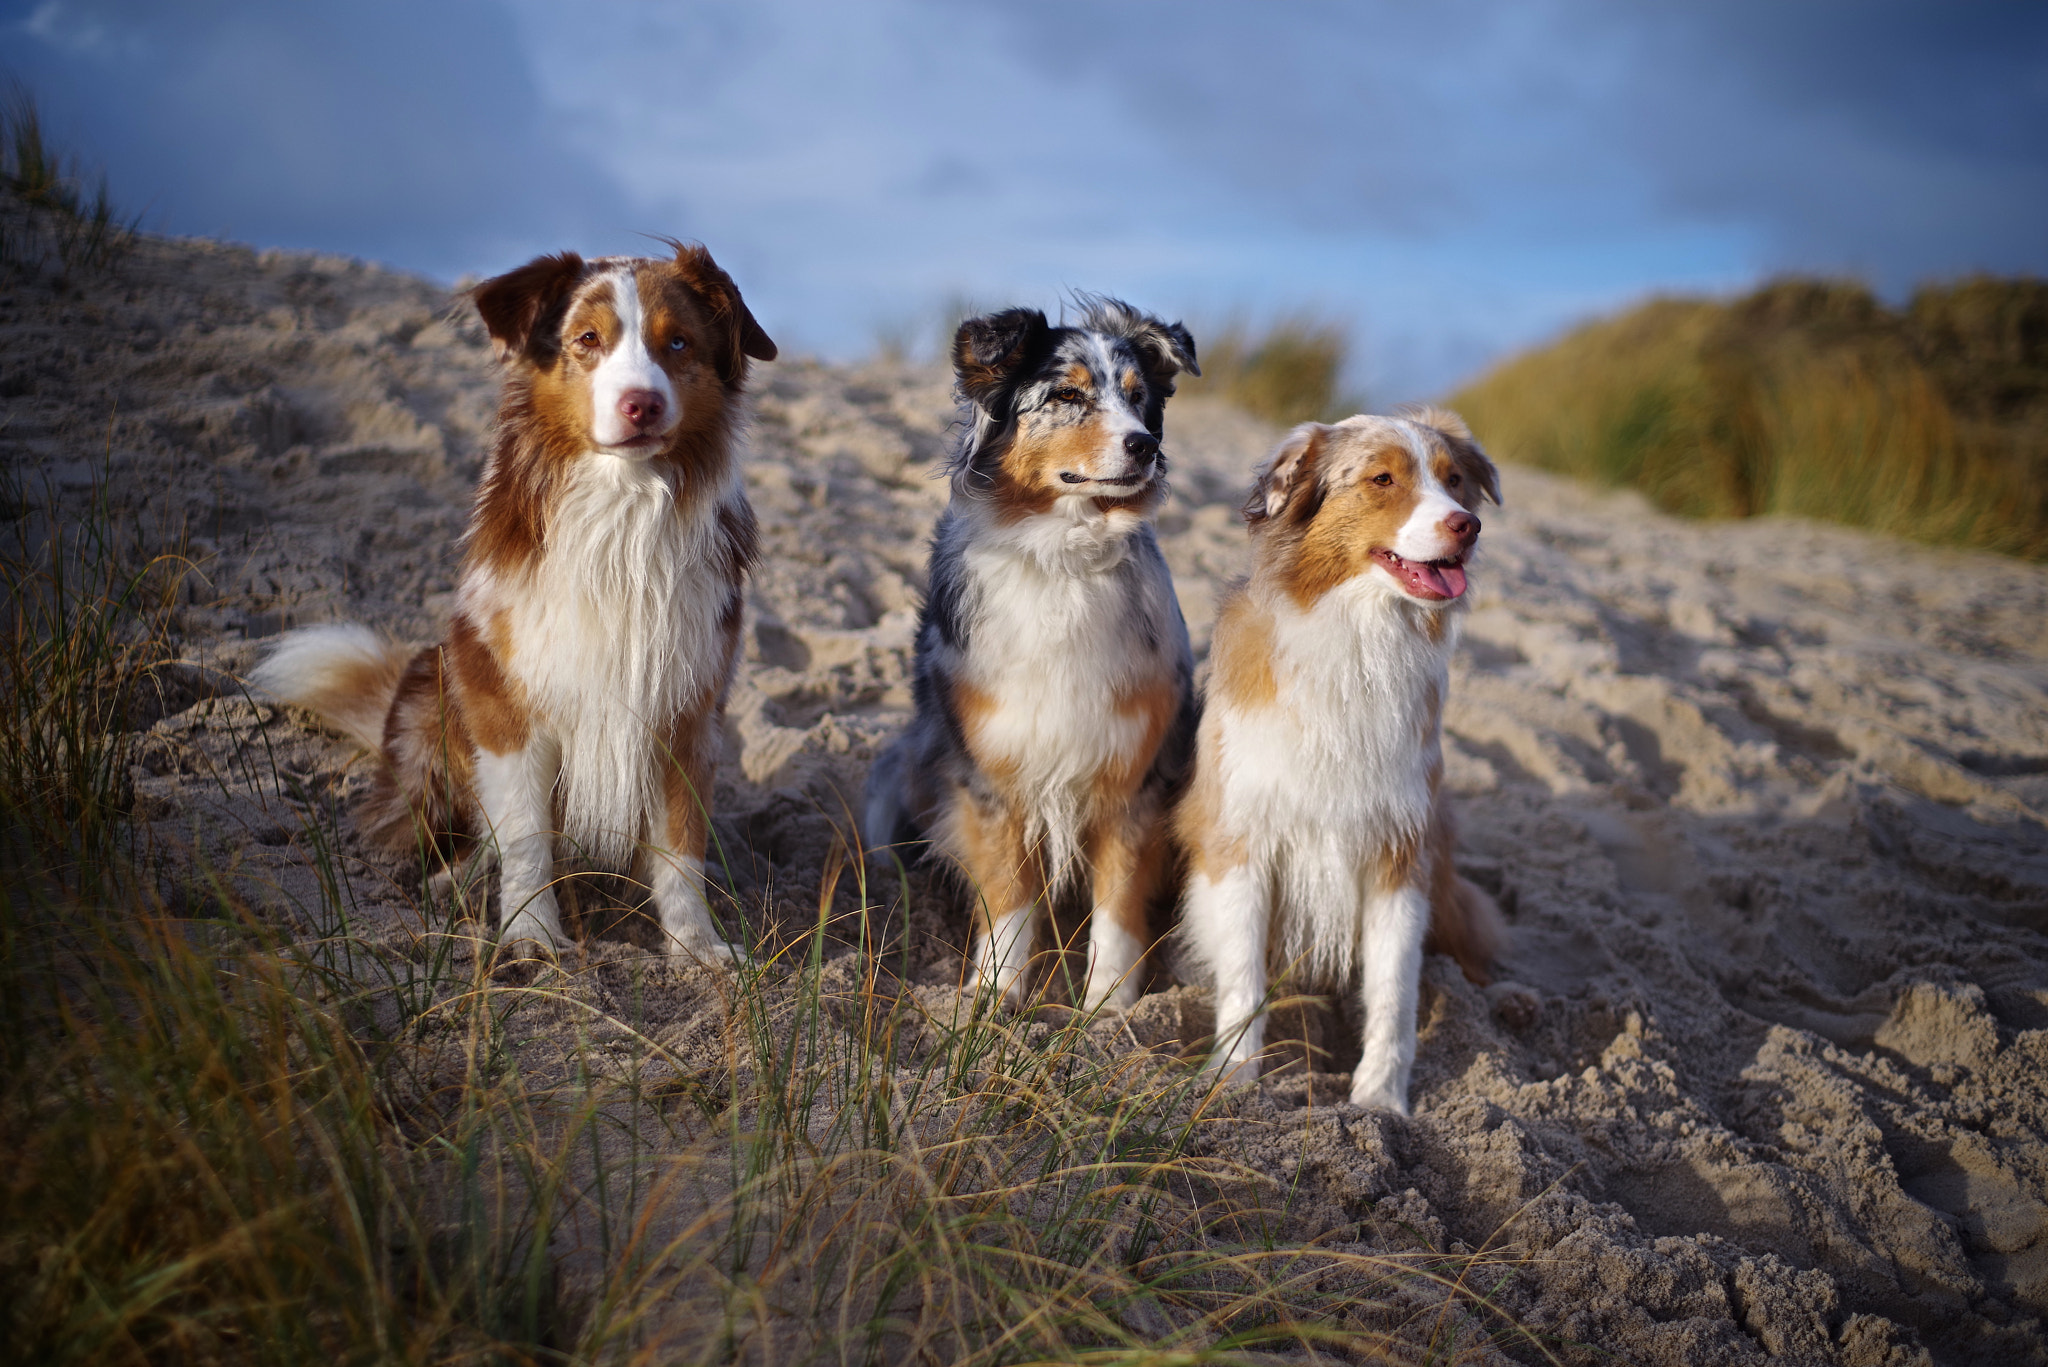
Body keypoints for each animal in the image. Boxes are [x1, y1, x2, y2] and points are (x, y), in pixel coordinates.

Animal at [249, 242, 774, 963]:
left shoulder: (686, 707)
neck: (621, 511)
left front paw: (697, 947)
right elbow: (524, 835)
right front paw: (531, 935)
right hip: (433, 694)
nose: (641, 404)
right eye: (588, 340)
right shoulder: (506, 699)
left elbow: (680, 847)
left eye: (678, 342)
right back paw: (452, 880)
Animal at [860, 299, 1196, 1012]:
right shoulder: (992, 772)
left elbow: (1119, 903)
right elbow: (1010, 893)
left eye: (1138, 399)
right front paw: (996, 997)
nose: (1146, 446)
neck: (1062, 556)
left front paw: (1110, 1010)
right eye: (1067, 395)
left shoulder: (1133, 772)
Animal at [1179, 405, 1515, 1123]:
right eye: (1382, 479)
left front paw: (1380, 1101)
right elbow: (1243, 976)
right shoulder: (1241, 838)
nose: (1467, 525)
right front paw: (1232, 1081)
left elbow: (1394, 990)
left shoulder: (1399, 850)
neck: (1359, 640)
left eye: (1453, 480)